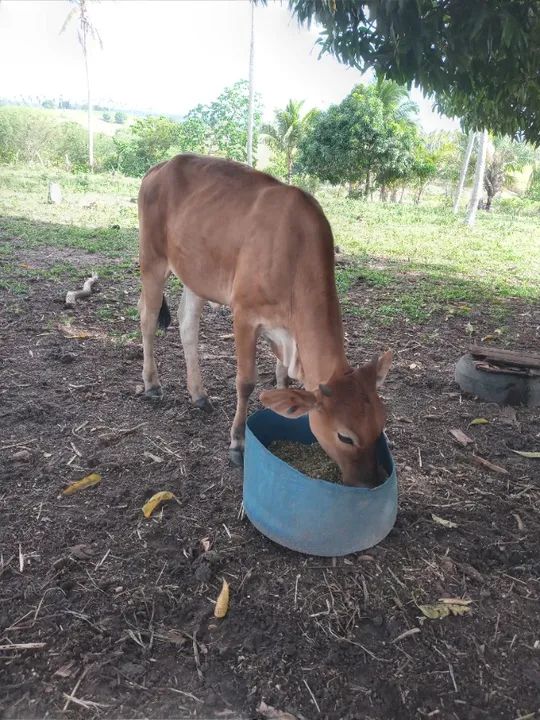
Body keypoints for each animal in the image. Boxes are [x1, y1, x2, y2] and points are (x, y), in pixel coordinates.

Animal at [138, 154, 392, 487]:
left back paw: (199, 394)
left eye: (379, 425)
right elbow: (246, 381)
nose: (371, 482)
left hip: (196, 274)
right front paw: (238, 443)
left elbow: (283, 376)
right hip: (152, 260)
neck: (293, 254)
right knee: (147, 318)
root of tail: (159, 167)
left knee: (187, 323)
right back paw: (152, 384)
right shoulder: (245, 315)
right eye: (345, 437)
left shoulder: (285, 333)